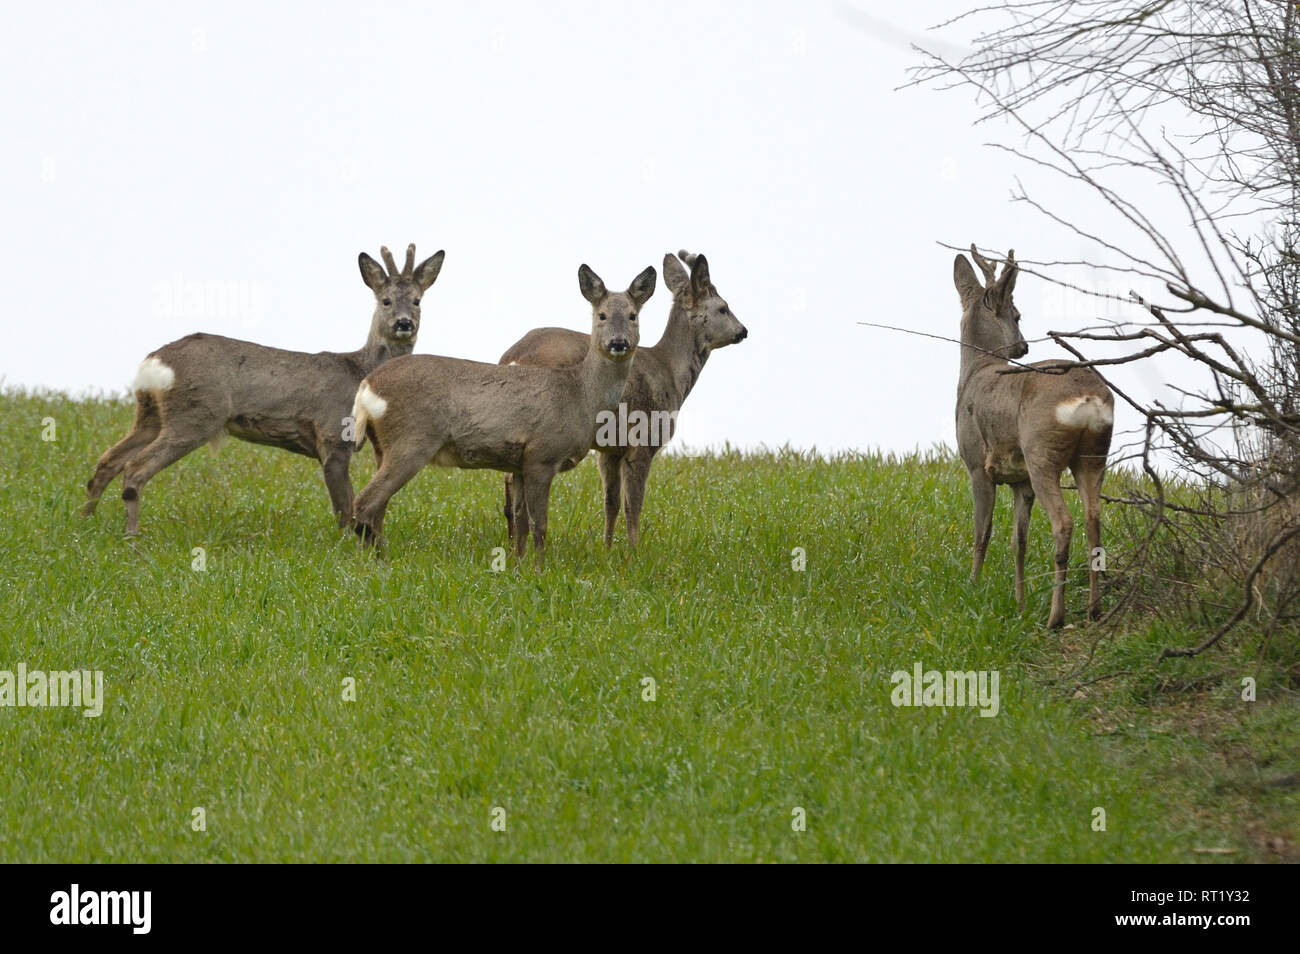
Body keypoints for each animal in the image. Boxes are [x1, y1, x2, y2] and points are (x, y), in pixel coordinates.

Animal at [83, 243, 447, 535]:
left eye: (417, 301)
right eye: (385, 301)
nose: (404, 323)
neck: (360, 371)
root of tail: (153, 361)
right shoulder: (333, 436)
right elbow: (344, 509)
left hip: (150, 414)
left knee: (108, 460)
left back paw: (86, 522)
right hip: (194, 415)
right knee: (135, 467)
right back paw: (131, 535)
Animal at [351, 259, 655, 566]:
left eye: (632, 316)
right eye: (602, 315)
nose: (618, 342)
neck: (580, 396)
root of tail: (367, 386)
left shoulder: (518, 463)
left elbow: (520, 520)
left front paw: (518, 564)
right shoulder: (542, 454)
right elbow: (539, 524)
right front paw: (540, 568)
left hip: (383, 446)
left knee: (376, 505)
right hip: (411, 440)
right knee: (365, 502)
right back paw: (375, 562)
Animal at [496, 250, 748, 548]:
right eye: (723, 307)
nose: (743, 330)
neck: (669, 373)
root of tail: (512, 357)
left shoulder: (610, 449)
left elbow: (611, 502)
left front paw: (606, 548)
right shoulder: (643, 440)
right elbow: (633, 504)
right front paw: (633, 550)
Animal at [956, 244, 1118, 629]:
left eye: (1017, 314)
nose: (1024, 347)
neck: (974, 372)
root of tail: (1088, 395)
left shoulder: (977, 465)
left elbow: (982, 534)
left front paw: (973, 587)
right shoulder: (1020, 481)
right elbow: (1020, 541)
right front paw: (1020, 603)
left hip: (1040, 450)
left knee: (1064, 523)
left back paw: (1056, 617)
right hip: (1094, 453)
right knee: (1093, 519)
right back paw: (1094, 608)